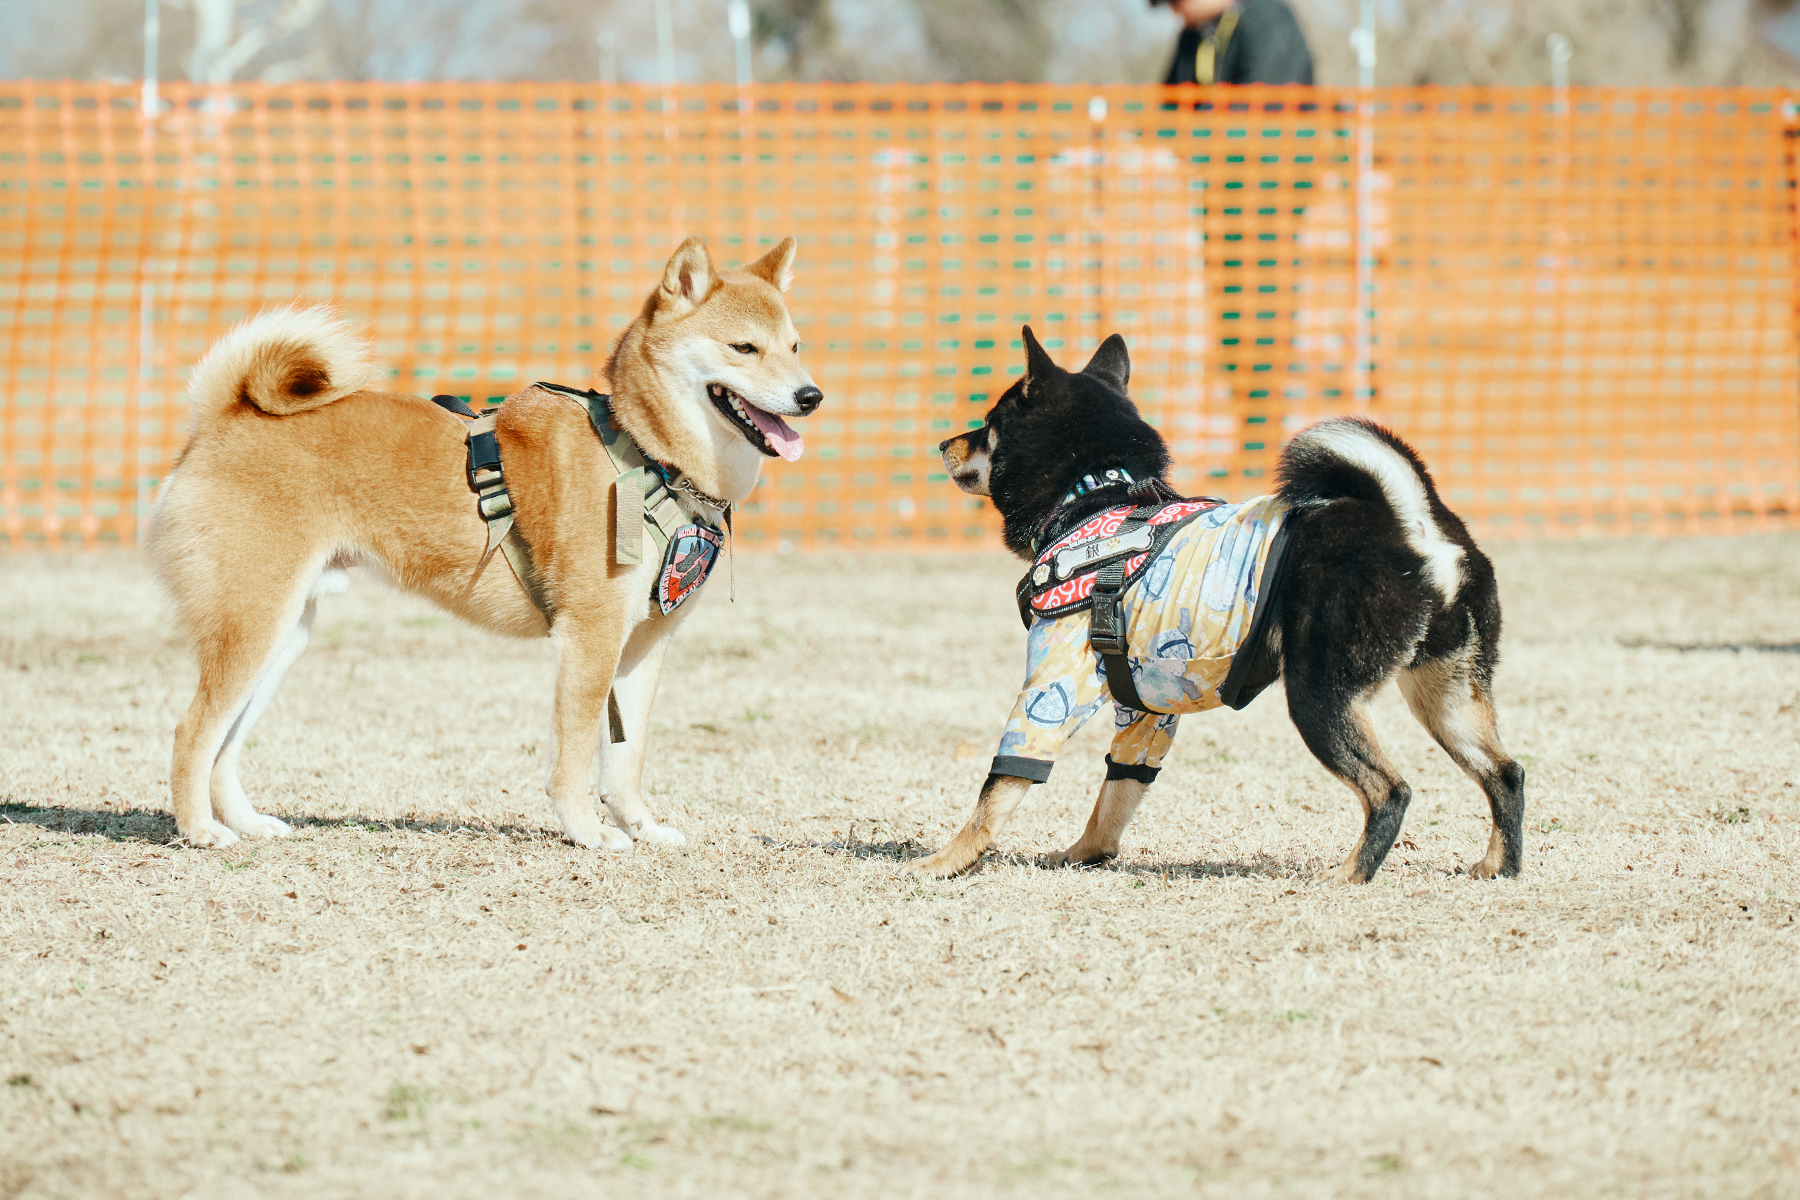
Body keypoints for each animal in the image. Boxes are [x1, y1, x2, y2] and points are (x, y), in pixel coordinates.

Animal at [149, 237, 824, 845]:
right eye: (744, 347)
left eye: (795, 346)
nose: (811, 395)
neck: (646, 458)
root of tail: (222, 419)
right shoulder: (591, 637)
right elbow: (575, 754)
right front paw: (588, 832)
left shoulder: (642, 645)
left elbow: (625, 761)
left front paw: (642, 829)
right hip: (253, 624)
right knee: (191, 732)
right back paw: (200, 831)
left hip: (283, 635)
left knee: (225, 745)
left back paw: (246, 823)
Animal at [907, 329, 1526, 881]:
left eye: (988, 425)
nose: (943, 442)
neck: (1093, 497)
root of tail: (1412, 527)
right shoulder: (1146, 710)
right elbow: (1117, 792)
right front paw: (1085, 854)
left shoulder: (1050, 689)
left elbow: (1000, 788)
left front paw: (945, 861)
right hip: (1446, 696)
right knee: (1506, 774)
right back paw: (1499, 866)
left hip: (1320, 697)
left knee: (1390, 791)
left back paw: (1349, 874)